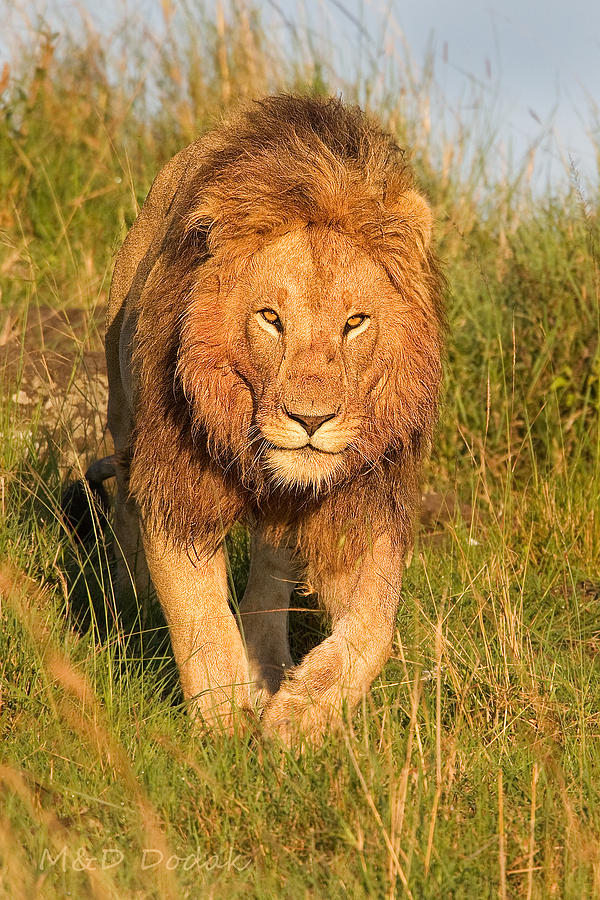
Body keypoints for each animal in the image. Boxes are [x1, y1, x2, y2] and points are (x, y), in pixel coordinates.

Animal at [96, 93, 442, 744]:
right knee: (125, 506)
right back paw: (128, 599)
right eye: (270, 318)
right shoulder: (180, 487)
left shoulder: (364, 501)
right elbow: (200, 618)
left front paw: (298, 719)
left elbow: (374, 627)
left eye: (355, 322)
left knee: (270, 570)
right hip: (124, 413)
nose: (310, 419)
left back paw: (271, 668)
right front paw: (225, 727)